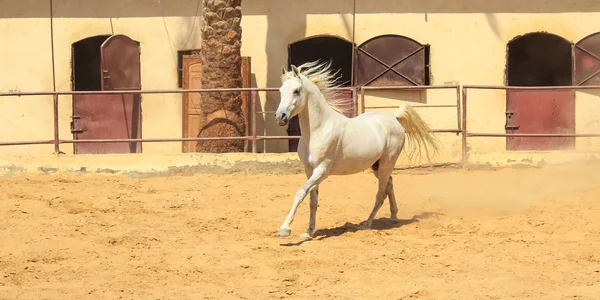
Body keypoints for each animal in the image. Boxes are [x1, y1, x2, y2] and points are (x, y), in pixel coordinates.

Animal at [276, 59, 440, 240]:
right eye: (280, 90)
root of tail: (393, 118)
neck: (319, 130)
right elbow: (312, 200)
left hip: (387, 164)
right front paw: (308, 232)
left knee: (380, 193)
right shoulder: (309, 170)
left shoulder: (322, 170)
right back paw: (393, 216)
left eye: (296, 91)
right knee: (389, 184)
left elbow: (300, 193)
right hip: (376, 166)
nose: (280, 117)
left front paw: (284, 228)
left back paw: (367, 224)